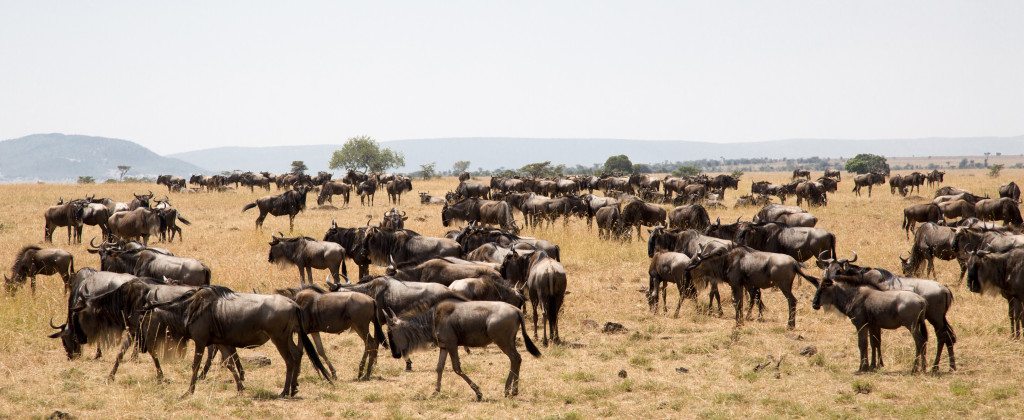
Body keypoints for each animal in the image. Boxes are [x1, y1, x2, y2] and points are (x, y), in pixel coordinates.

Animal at [385, 299, 544, 399]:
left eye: (390, 333)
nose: (395, 354)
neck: (433, 319)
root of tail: (517, 310)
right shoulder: (444, 347)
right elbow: (439, 368)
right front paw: (435, 392)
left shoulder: (452, 345)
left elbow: (457, 368)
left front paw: (478, 393)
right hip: (508, 342)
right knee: (517, 359)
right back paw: (512, 391)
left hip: (502, 342)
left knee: (515, 358)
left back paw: (508, 390)